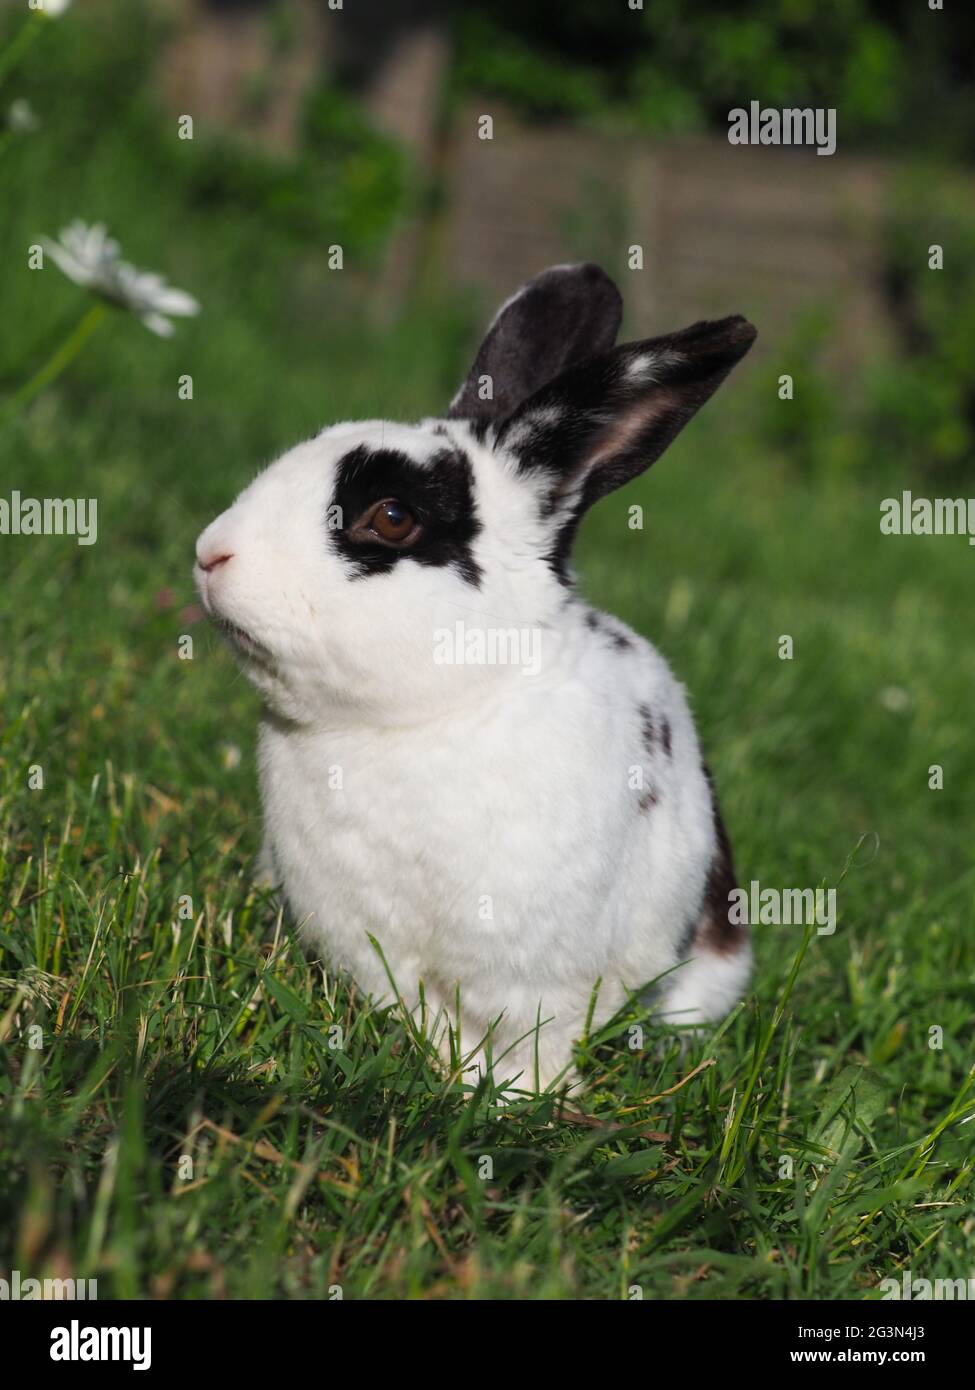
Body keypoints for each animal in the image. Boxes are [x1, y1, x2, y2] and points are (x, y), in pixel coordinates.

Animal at [194, 263, 756, 1095]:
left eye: (391, 516)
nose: (211, 553)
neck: (423, 718)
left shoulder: (544, 979)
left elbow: (540, 1042)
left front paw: (519, 1101)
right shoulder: (371, 950)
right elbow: (421, 1016)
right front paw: (454, 1079)